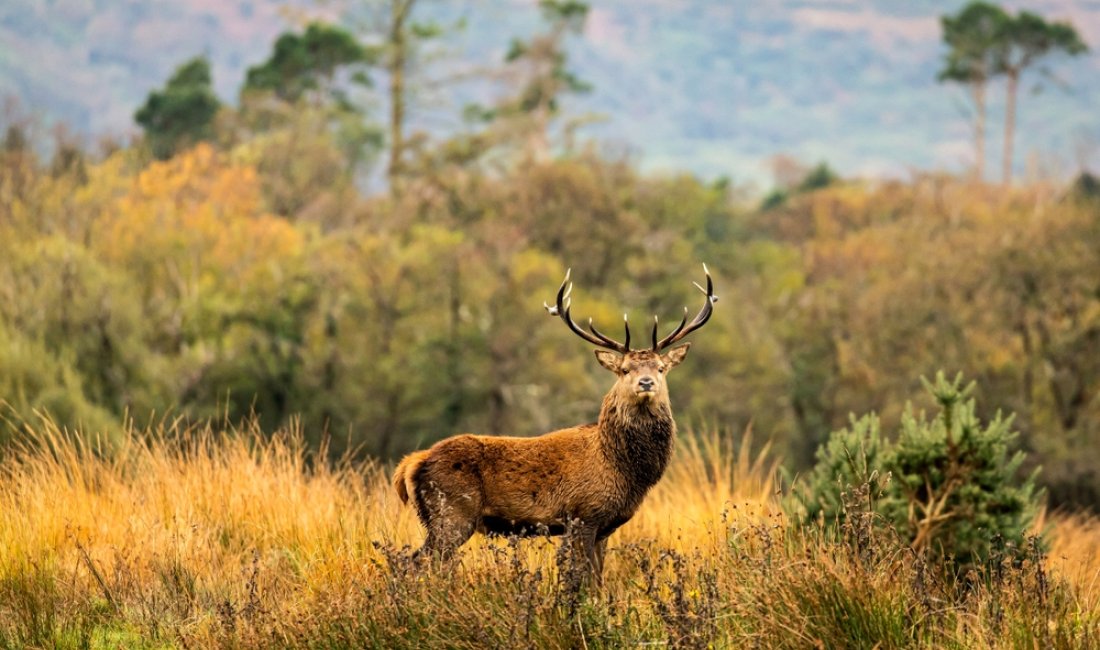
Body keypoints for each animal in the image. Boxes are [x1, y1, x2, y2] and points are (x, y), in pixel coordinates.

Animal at [392, 265, 716, 580]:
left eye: (661, 368)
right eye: (624, 369)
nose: (646, 382)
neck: (622, 469)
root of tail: (413, 462)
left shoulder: (605, 527)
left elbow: (597, 579)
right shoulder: (583, 515)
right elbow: (578, 578)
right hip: (451, 513)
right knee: (415, 563)